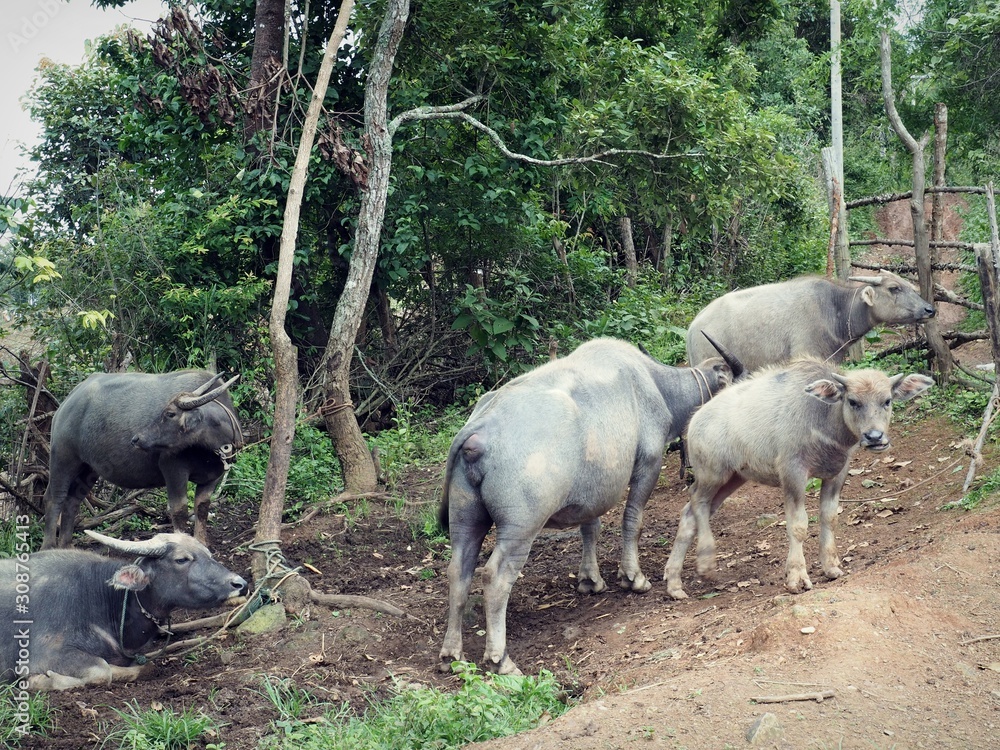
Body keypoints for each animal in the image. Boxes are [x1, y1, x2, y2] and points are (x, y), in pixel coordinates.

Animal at [0, 530, 246, 690]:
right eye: (181, 559)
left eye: (209, 554)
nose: (240, 584)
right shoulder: (44, 654)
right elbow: (103, 671)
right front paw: (38, 681)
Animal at [42, 370, 242, 549]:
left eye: (170, 414)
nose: (137, 439)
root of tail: (65, 404)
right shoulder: (173, 470)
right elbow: (179, 511)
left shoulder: (213, 478)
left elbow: (202, 509)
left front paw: (202, 544)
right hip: (63, 459)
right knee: (54, 498)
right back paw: (49, 547)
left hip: (88, 468)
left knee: (73, 501)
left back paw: (66, 546)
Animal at [438, 338, 739, 675]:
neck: (655, 384)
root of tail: (479, 428)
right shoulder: (648, 464)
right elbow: (632, 521)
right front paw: (633, 577)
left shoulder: (591, 492)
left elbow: (590, 528)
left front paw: (590, 579)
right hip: (521, 527)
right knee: (495, 577)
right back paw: (500, 658)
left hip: (466, 519)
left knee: (458, 571)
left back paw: (452, 653)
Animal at [663, 358, 933, 599]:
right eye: (853, 401)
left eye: (887, 401)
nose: (875, 437)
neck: (822, 420)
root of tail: (694, 421)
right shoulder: (793, 473)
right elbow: (798, 525)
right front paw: (797, 577)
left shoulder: (837, 473)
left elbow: (830, 517)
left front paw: (831, 566)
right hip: (712, 473)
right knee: (697, 502)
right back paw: (705, 560)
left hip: (733, 478)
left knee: (689, 513)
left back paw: (674, 584)